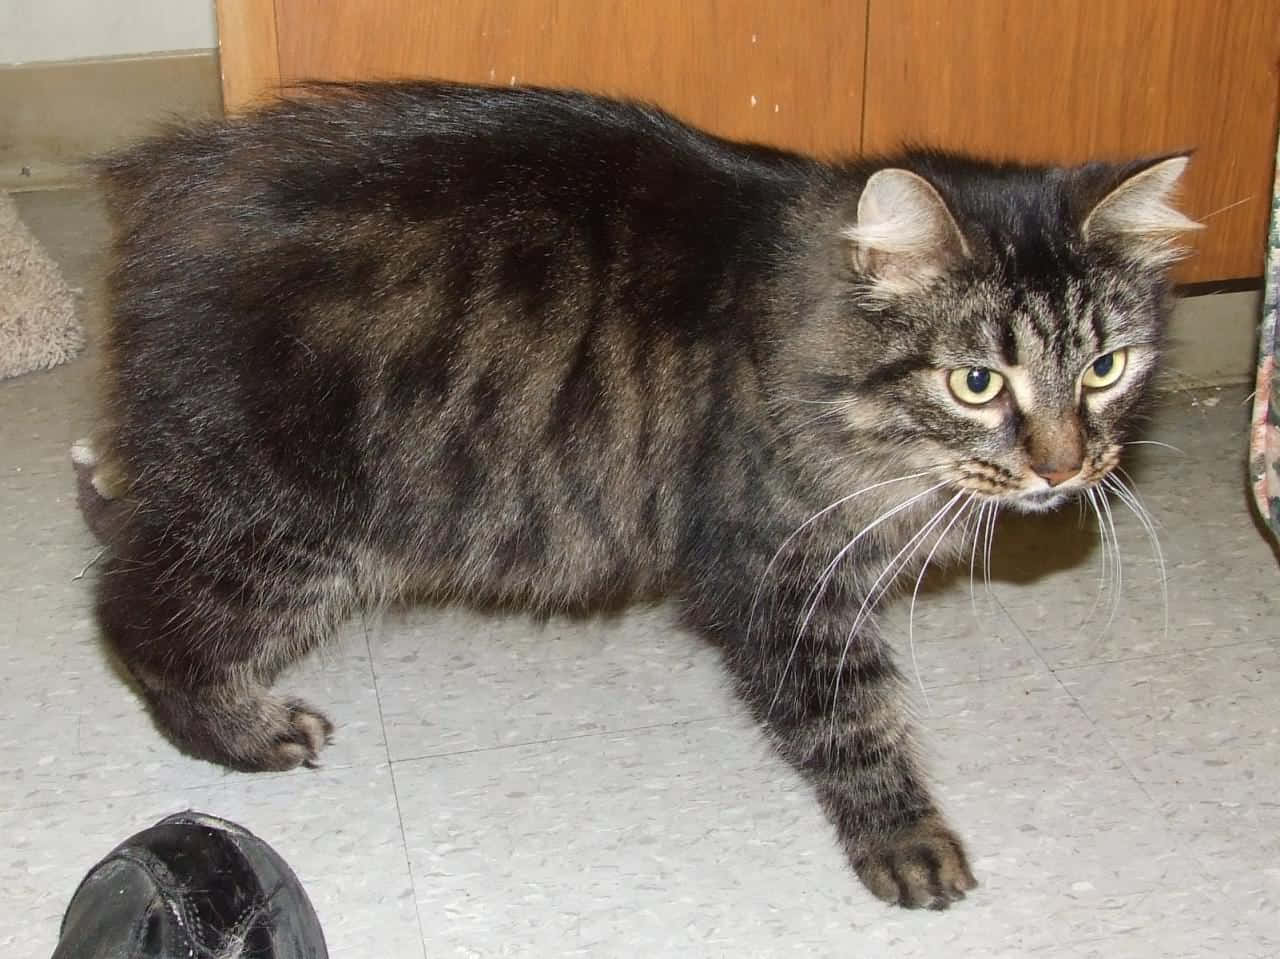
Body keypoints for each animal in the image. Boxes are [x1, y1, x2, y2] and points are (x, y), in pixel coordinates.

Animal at [80, 82, 1198, 906]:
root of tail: (174, 191)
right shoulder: (777, 576)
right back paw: (244, 732)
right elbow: (852, 718)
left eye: (1105, 367)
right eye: (977, 382)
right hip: (281, 522)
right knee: (137, 613)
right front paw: (905, 835)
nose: (1065, 465)